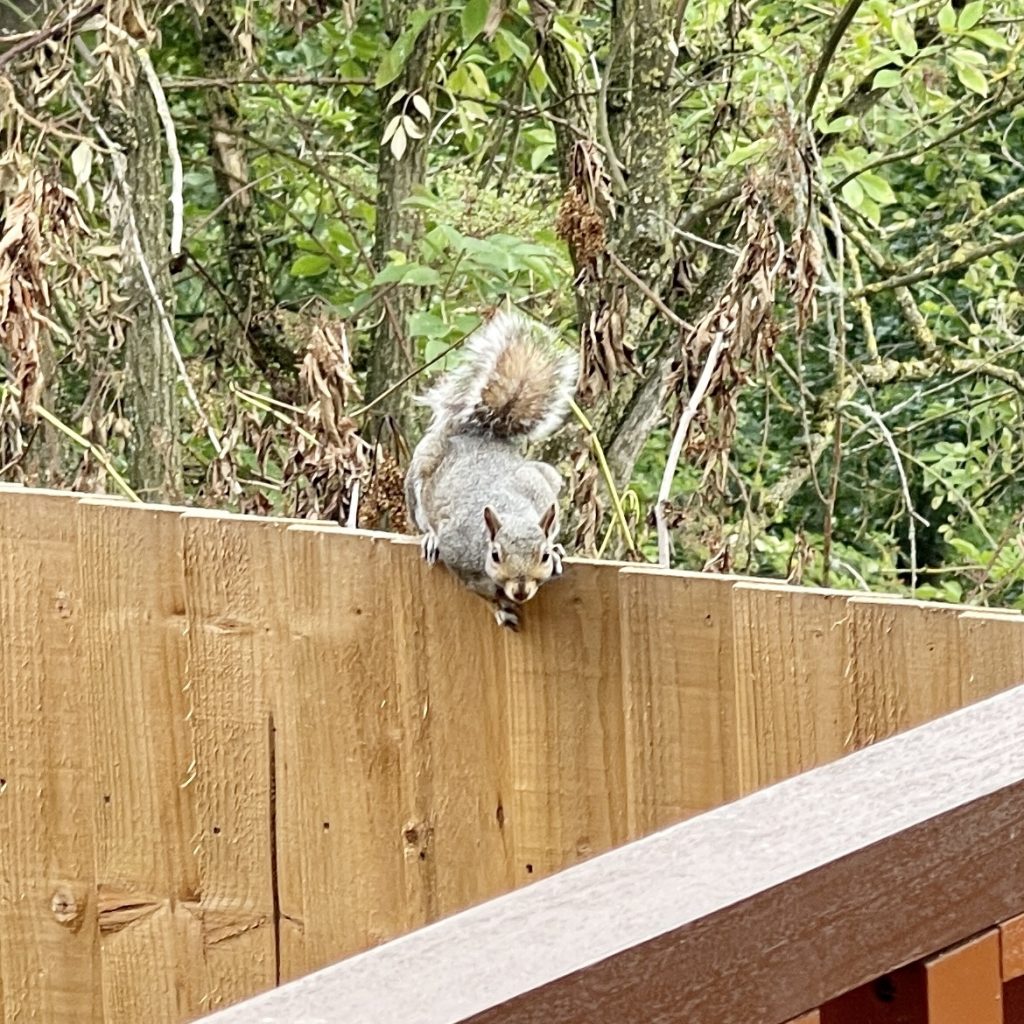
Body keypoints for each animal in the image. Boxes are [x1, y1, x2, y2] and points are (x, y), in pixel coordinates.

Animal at [403, 309, 581, 630]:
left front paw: (559, 551)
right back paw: (430, 538)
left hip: (548, 475)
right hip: (421, 467)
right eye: (496, 555)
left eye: (543, 555)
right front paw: (499, 606)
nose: (521, 590)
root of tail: (482, 437)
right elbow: (479, 590)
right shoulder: (459, 552)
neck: (511, 510)